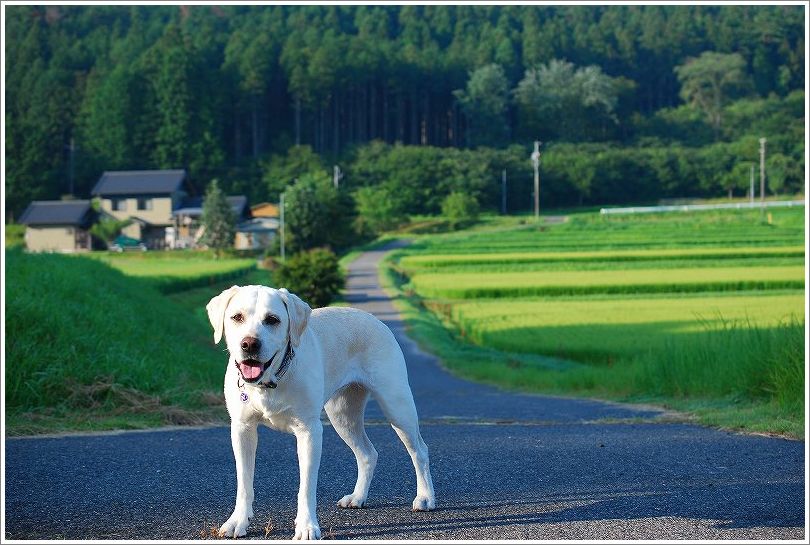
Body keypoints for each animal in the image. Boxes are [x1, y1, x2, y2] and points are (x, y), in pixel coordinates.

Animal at [207, 284, 436, 540]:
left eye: (272, 320)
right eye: (237, 317)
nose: (249, 344)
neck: (271, 380)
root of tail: (374, 319)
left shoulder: (309, 432)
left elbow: (306, 486)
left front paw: (307, 527)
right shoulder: (242, 429)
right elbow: (244, 481)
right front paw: (238, 521)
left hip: (396, 404)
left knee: (419, 450)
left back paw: (425, 497)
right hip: (342, 415)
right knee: (368, 453)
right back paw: (358, 497)